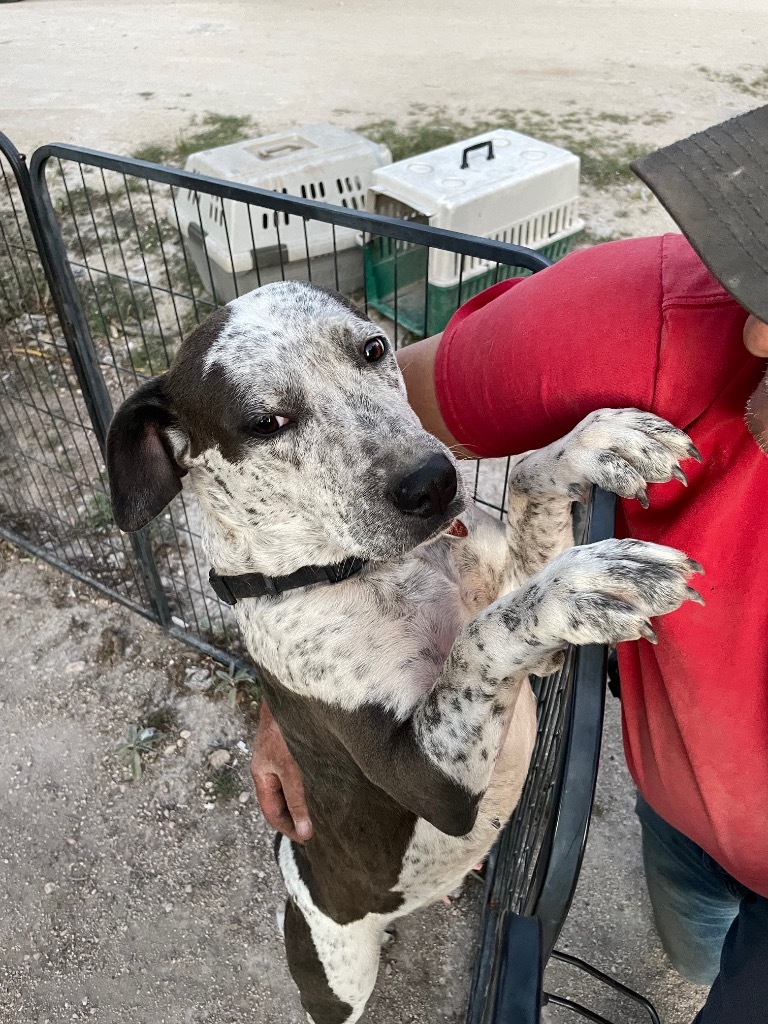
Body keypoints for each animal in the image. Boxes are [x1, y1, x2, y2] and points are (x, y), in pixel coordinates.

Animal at [107, 280, 704, 1024]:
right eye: (266, 422)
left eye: (372, 347)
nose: (432, 481)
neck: (368, 569)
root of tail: (291, 864)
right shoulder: (428, 780)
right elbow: (481, 637)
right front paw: (583, 580)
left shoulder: (537, 657)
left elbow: (526, 486)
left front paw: (595, 443)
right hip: (339, 974)